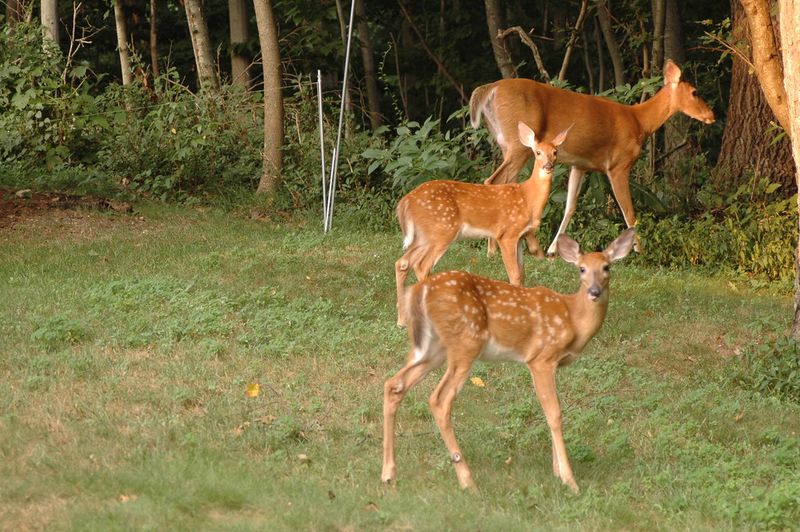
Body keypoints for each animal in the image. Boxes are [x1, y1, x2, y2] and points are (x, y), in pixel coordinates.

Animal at [382, 228, 636, 494]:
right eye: (582, 269)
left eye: (607, 267)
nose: (594, 292)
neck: (573, 319)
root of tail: (420, 291)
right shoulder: (541, 358)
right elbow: (554, 413)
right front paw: (569, 479)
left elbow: (549, 409)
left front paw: (556, 471)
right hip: (466, 343)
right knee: (439, 399)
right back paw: (467, 481)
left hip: (433, 348)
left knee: (394, 384)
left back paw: (389, 474)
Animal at [394, 123, 571, 327]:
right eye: (538, 152)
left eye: (555, 152)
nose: (548, 165)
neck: (528, 198)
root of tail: (405, 202)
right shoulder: (506, 234)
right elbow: (514, 275)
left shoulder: (519, 236)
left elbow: (522, 273)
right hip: (442, 230)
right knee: (421, 266)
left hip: (424, 235)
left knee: (402, 263)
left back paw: (402, 320)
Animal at [470, 59, 715, 256]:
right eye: (695, 92)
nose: (712, 115)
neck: (640, 122)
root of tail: (491, 88)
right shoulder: (618, 165)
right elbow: (629, 211)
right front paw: (639, 251)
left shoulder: (580, 165)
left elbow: (570, 205)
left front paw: (552, 250)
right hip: (518, 144)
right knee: (493, 181)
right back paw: (492, 251)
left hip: (506, 144)